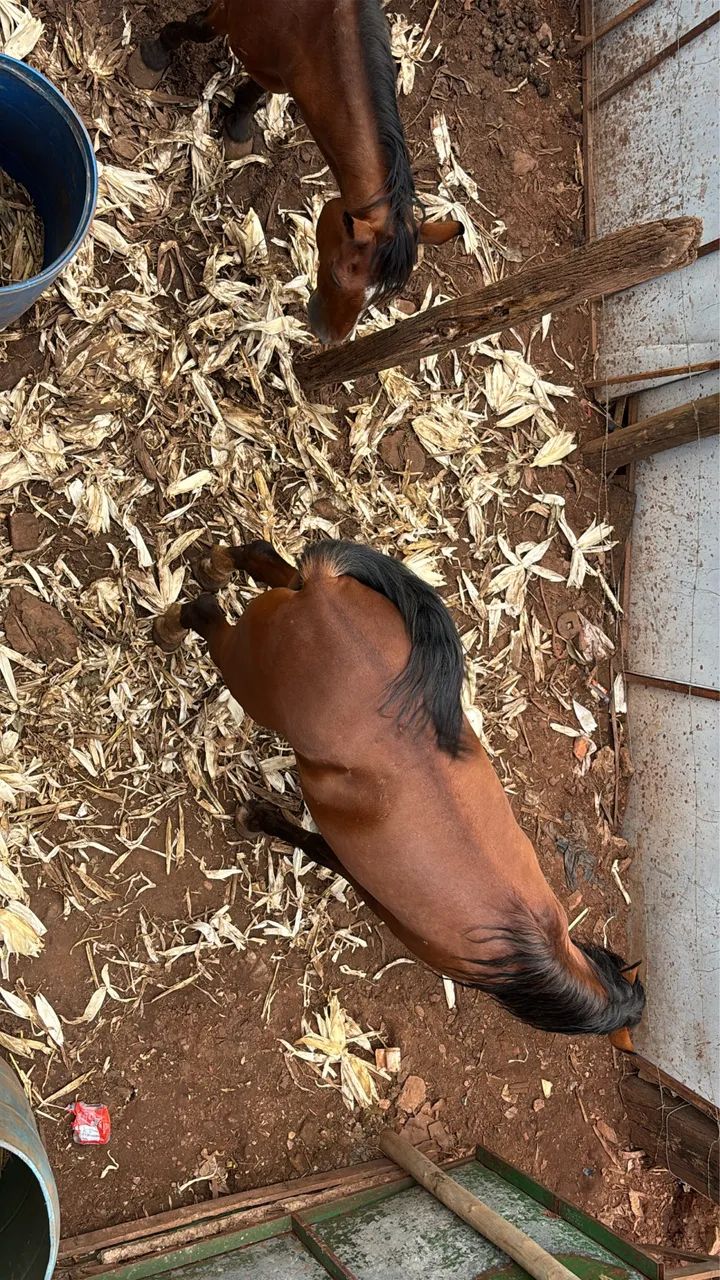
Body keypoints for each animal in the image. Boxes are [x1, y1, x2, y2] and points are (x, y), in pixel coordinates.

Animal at [127, 0, 463, 345]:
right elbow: (198, 30)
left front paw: (238, 125)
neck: (313, 28)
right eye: (337, 276)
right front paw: (154, 55)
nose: (330, 338)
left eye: (378, 298)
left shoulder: (274, 67)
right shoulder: (231, 16)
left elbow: (256, 89)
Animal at [153, 537, 645, 1048]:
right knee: (209, 613)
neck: (519, 944)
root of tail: (324, 587)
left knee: (264, 560)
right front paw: (255, 817)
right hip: (244, 672)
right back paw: (170, 626)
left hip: (282, 606)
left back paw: (214, 567)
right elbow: (311, 843)